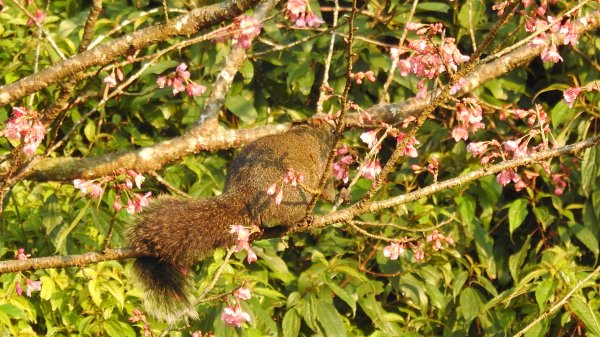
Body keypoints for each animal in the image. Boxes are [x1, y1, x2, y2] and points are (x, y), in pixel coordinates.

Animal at [128, 119, 336, 322]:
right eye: (333, 130)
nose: (337, 134)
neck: (309, 132)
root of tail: (245, 192)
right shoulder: (323, 164)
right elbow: (326, 188)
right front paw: (337, 196)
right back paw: (304, 219)